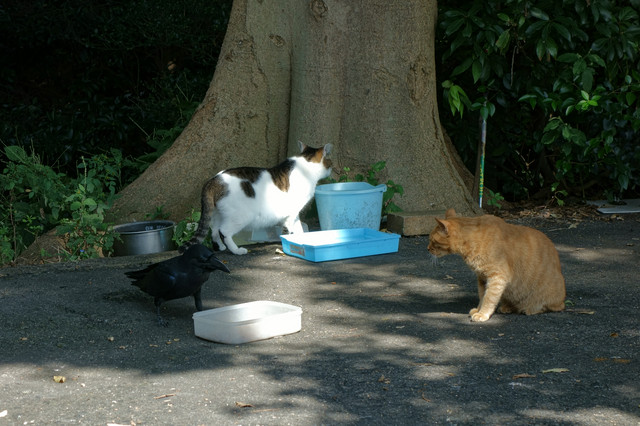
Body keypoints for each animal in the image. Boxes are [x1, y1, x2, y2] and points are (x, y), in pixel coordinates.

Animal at [182, 142, 332, 255]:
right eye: (330, 161)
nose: (332, 167)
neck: (305, 167)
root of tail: (213, 180)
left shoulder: (290, 215)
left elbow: (294, 228)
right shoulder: (293, 212)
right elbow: (296, 228)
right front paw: (300, 240)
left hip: (218, 214)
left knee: (213, 230)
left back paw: (220, 247)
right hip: (241, 216)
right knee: (223, 231)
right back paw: (236, 250)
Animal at [427, 208, 565, 322]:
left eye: (432, 241)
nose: (427, 249)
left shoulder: (497, 277)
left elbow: (489, 298)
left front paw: (482, 314)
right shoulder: (482, 278)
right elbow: (482, 296)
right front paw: (478, 310)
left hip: (548, 297)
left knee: (552, 307)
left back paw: (529, 309)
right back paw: (507, 307)